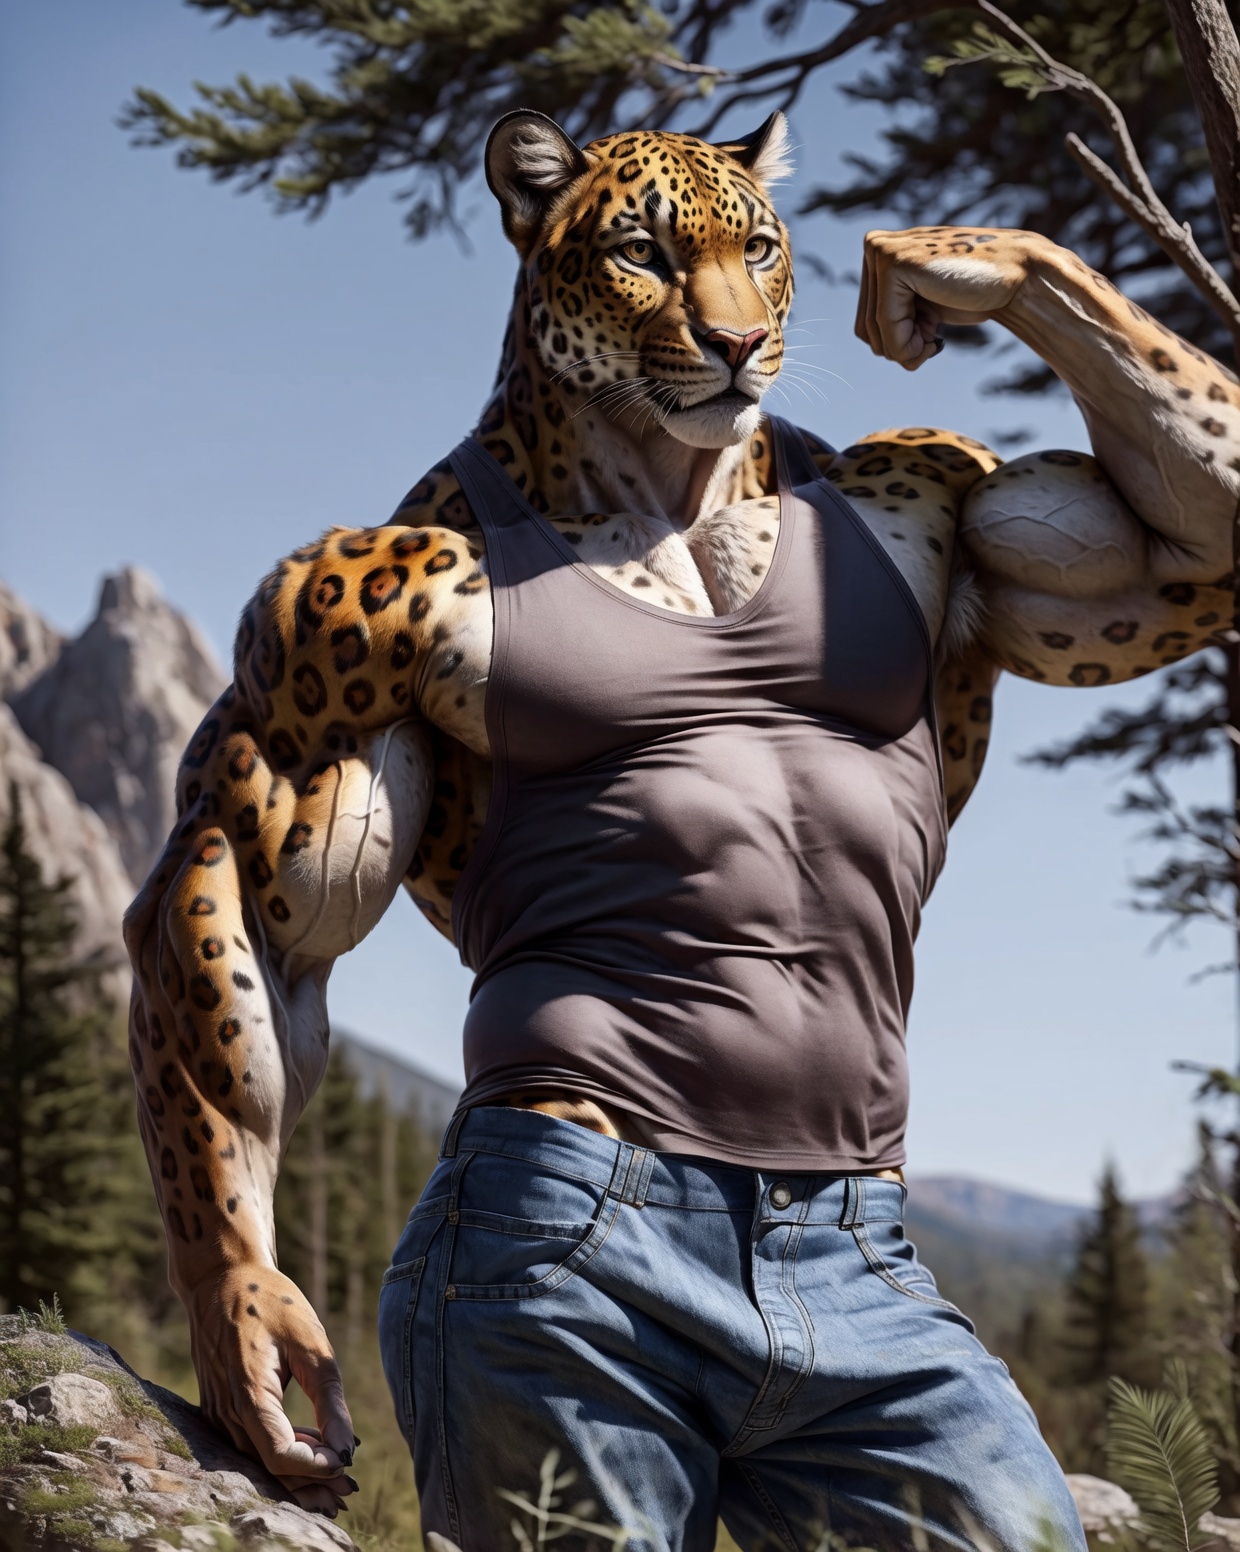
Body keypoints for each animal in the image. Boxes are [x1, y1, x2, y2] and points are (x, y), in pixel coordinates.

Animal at [122, 107, 1240, 1510]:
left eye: (757, 248)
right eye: (640, 253)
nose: (736, 342)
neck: (669, 490)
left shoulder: (960, 497)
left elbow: (1184, 547)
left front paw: (962, 260)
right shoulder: (338, 605)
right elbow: (252, 905)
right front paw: (247, 1319)